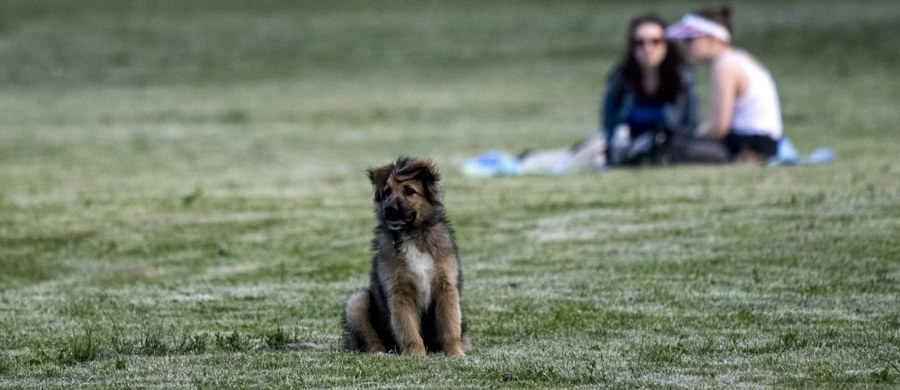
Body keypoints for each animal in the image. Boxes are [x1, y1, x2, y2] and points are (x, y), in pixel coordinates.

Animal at [342, 157, 472, 354]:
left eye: (409, 191)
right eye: (387, 192)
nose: (389, 210)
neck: (411, 236)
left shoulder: (446, 288)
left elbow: (450, 326)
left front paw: (456, 354)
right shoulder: (399, 292)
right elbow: (408, 330)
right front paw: (416, 355)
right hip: (357, 303)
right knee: (372, 341)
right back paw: (381, 354)